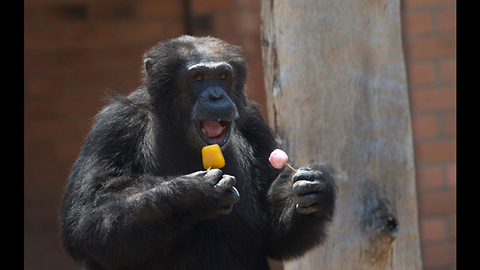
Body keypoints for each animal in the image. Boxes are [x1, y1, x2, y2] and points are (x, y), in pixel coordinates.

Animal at [61, 35, 338, 270]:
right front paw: (194, 193)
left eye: (223, 75)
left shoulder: (255, 124)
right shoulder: (113, 127)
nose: (216, 95)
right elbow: (88, 219)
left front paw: (315, 185)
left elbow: (274, 234)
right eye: (198, 78)